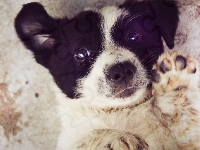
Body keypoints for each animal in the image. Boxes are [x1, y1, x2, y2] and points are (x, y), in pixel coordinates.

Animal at [12, 0, 183, 149]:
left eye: (133, 37)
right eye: (81, 54)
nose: (121, 70)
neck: (122, 111)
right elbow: (92, 135)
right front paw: (117, 138)